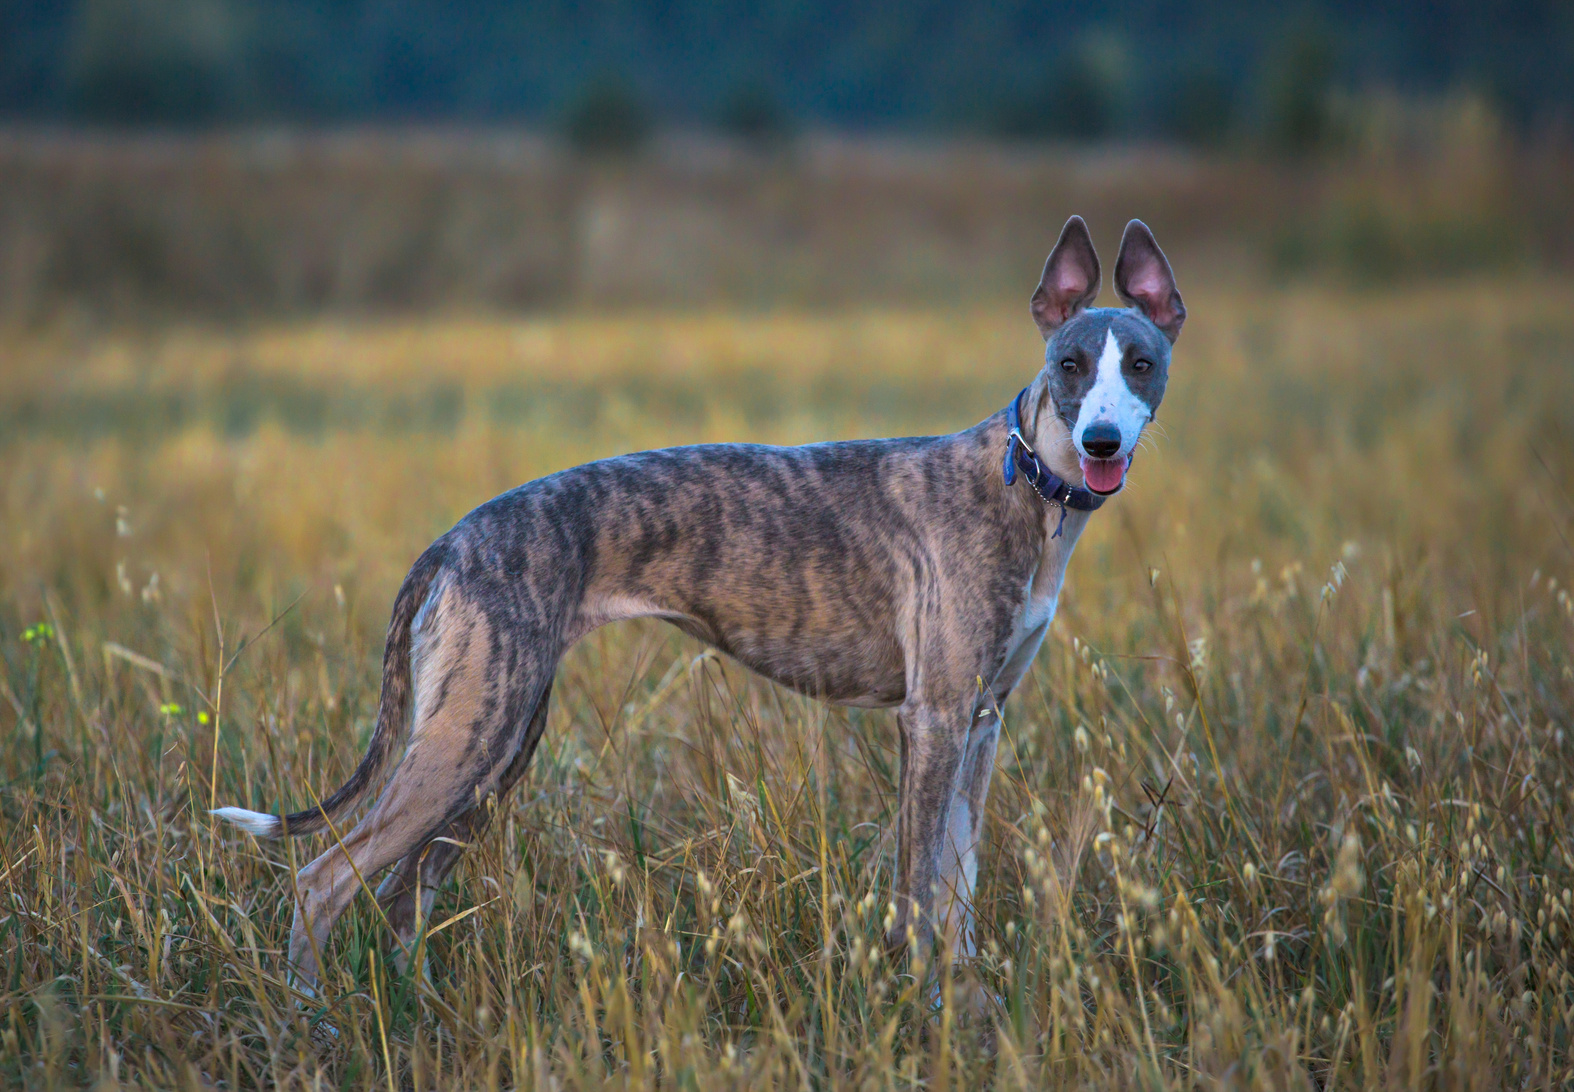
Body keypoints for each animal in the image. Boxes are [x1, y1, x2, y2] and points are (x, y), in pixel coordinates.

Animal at [218, 215, 1183, 994]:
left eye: (1141, 363)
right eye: (1067, 364)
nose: (1101, 442)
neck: (1022, 484)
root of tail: (450, 542)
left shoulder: (983, 720)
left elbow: (958, 890)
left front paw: (966, 1002)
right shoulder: (934, 718)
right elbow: (917, 894)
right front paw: (924, 1009)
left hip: (495, 750)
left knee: (400, 893)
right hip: (465, 744)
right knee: (322, 880)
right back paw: (311, 1018)